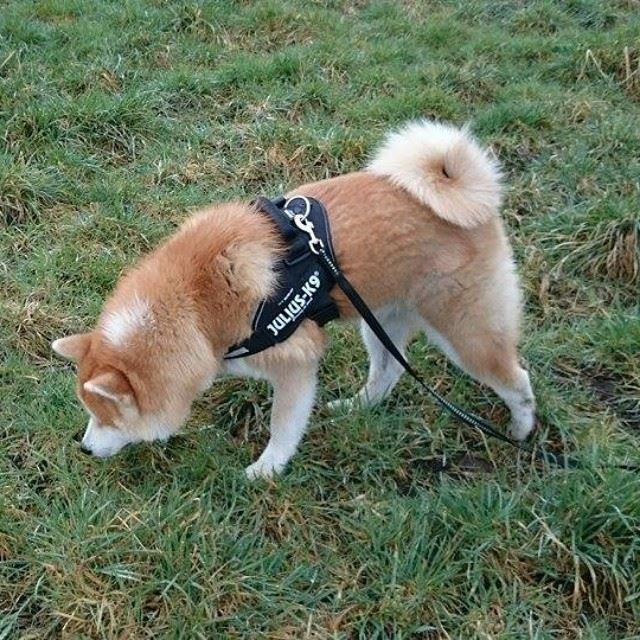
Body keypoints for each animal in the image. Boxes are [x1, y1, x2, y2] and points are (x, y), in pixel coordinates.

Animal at [52, 120, 535, 479]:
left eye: (108, 418)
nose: (84, 448)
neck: (196, 303)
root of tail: (472, 200)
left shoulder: (296, 364)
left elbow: (282, 427)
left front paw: (265, 471)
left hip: (466, 333)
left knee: (517, 379)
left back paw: (521, 428)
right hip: (380, 320)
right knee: (388, 372)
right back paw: (355, 408)